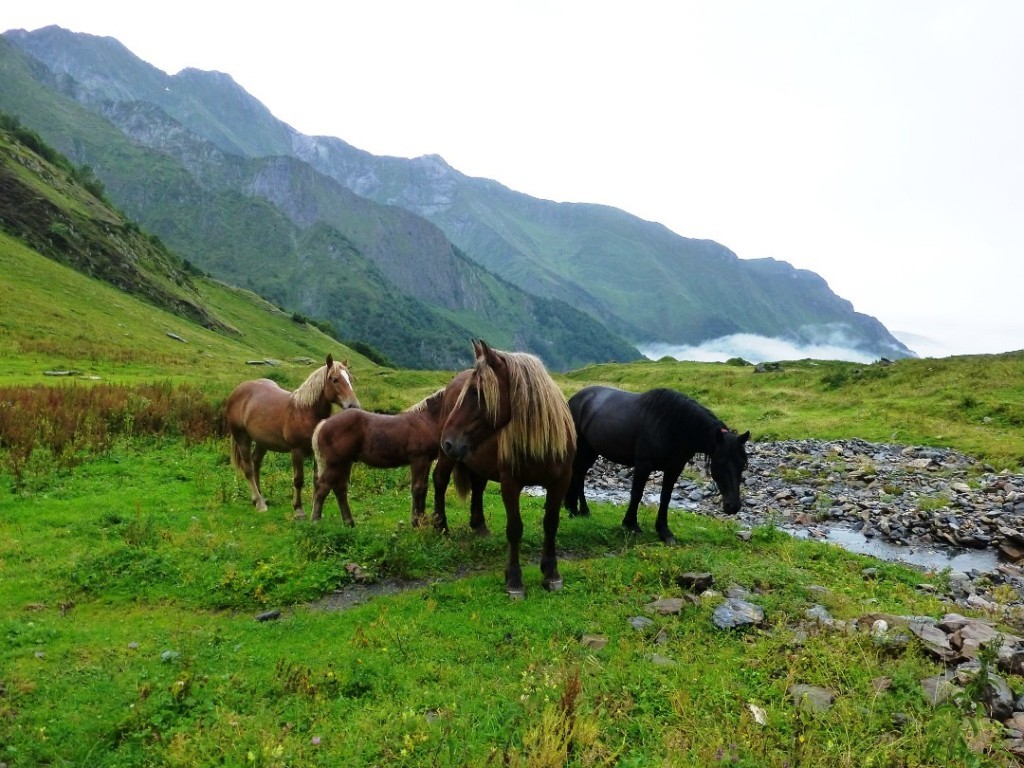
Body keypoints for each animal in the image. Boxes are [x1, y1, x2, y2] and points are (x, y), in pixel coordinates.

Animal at [224, 354, 360, 517]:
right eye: (335, 379)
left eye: (350, 379)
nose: (354, 406)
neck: (305, 412)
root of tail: (238, 390)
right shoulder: (296, 451)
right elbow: (298, 480)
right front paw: (298, 510)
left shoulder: (316, 453)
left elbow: (316, 480)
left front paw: (315, 509)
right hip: (242, 437)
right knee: (249, 468)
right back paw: (259, 503)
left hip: (262, 442)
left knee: (256, 462)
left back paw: (259, 498)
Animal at [309, 388, 447, 526]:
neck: (426, 419)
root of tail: (324, 423)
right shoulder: (419, 460)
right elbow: (417, 488)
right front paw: (416, 522)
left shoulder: (427, 461)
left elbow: (424, 488)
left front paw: (423, 520)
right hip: (334, 463)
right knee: (322, 488)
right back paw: (315, 521)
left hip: (345, 463)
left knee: (340, 488)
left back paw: (349, 522)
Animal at [435, 339, 576, 597]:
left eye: (476, 392)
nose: (448, 441)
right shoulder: (511, 484)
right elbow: (515, 529)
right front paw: (514, 580)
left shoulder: (560, 482)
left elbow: (551, 523)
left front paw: (551, 573)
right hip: (446, 458)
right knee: (439, 480)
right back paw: (440, 526)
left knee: (478, 488)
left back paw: (479, 525)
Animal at [564, 385, 749, 544]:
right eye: (721, 462)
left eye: (742, 464)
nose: (733, 506)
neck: (672, 427)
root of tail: (574, 399)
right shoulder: (643, 466)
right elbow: (636, 494)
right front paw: (631, 525)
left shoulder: (674, 469)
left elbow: (665, 498)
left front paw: (664, 531)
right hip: (582, 447)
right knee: (577, 475)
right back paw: (582, 511)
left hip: (591, 449)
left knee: (579, 474)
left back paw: (574, 509)